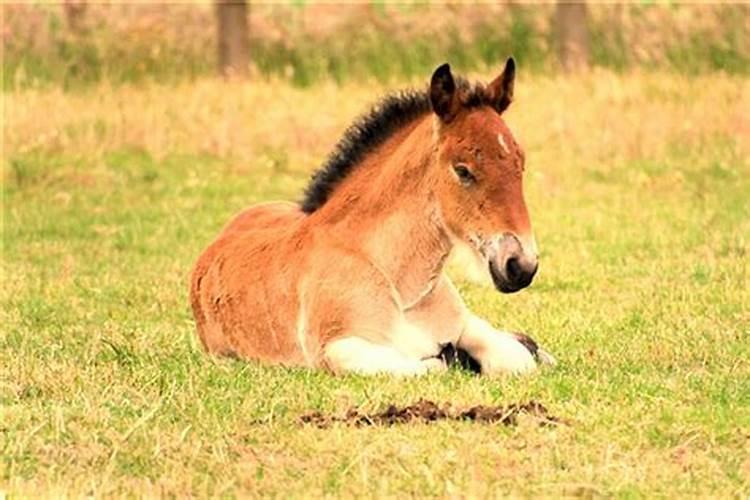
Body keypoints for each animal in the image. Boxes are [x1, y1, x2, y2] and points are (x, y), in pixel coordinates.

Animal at [191, 58, 556, 376]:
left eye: (520, 164)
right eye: (463, 170)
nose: (521, 265)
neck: (399, 282)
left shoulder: (464, 324)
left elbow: (515, 359)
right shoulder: (338, 348)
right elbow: (433, 365)